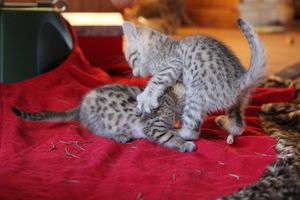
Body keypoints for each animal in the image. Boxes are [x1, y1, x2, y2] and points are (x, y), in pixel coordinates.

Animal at [11, 83, 196, 152]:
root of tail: (82, 103)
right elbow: (168, 136)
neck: (171, 96)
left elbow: (173, 131)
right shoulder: (154, 125)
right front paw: (184, 144)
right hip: (100, 120)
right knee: (96, 131)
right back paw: (118, 135)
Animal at [122, 17, 268, 144]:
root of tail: (238, 81)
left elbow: (158, 79)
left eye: (131, 60)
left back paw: (177, 131)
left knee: (192, 132)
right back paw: (224, 123)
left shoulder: (174, 63)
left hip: (196, 95)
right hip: (238, 103)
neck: (162, 46)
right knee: (238, 127)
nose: (134, 73)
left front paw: (146, 98)